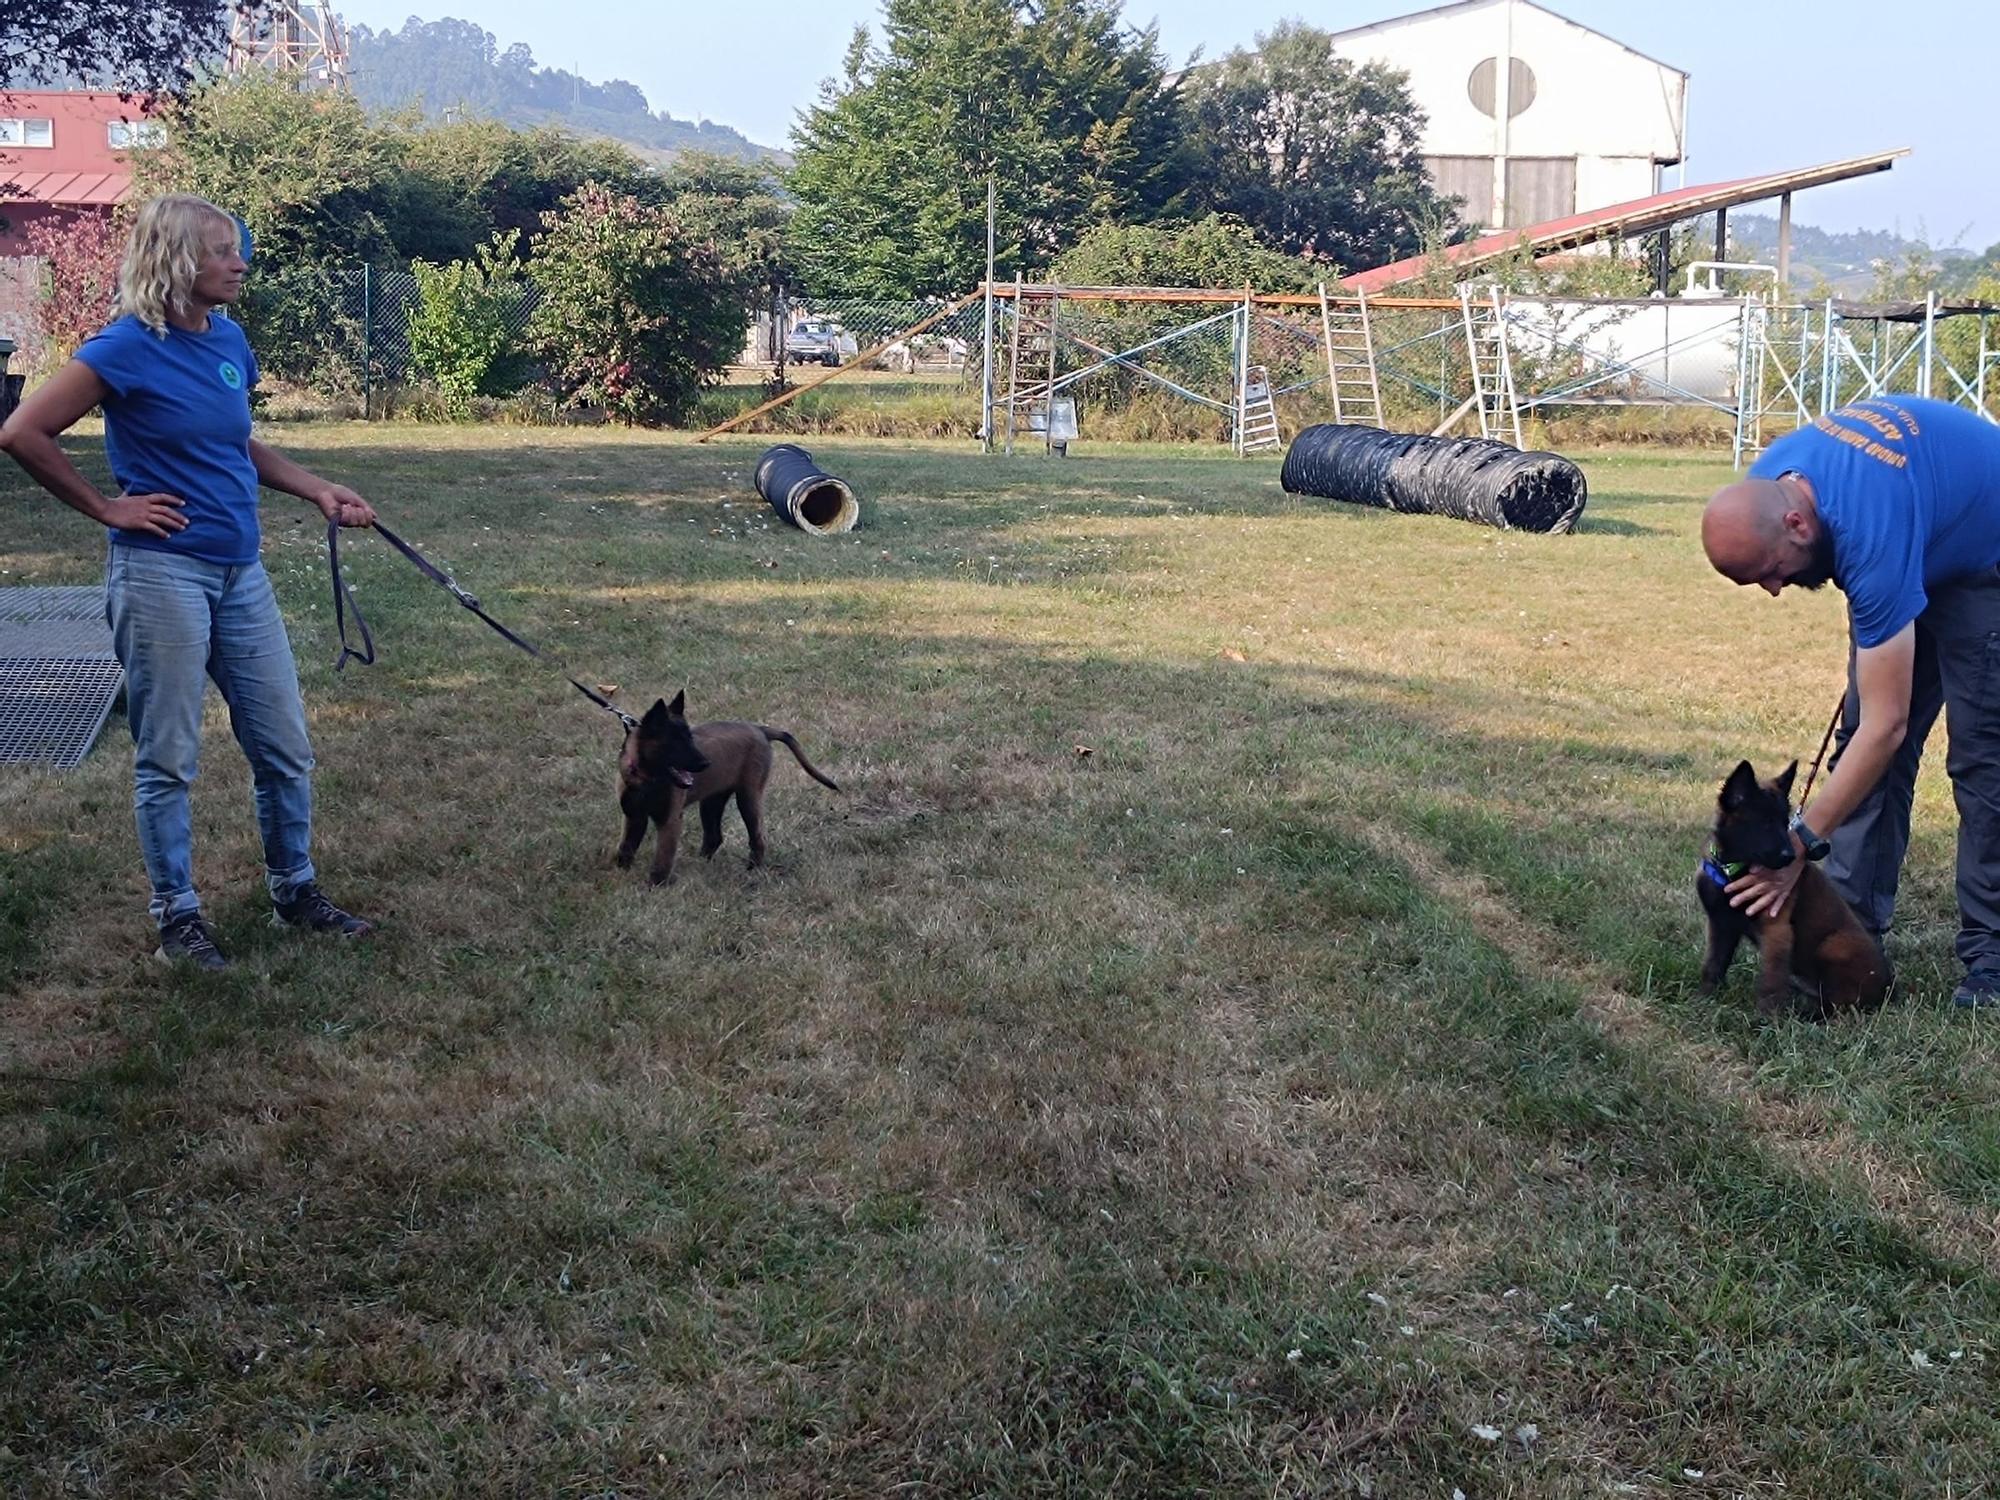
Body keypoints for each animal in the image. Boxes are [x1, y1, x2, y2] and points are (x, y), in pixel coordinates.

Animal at [604, 696, 832, 892]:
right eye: (676, 742)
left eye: (690, 738)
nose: (706, 763)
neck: (647, 779)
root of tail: (761, 730)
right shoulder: (634, 816)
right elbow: (626, 847)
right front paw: (620, 873)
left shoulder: (670, 820)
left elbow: (662, 859)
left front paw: (655, 887)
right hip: (712, 801)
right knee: (714, 836)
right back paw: (699, 864)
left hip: (748, 797)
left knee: (757, 837)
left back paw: (752, 870)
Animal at [1688, 764, 1888, 1024]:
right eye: (1763, 823)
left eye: (1784, 823)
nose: (1790, 857)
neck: (1732, 870)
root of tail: (1890, 986)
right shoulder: (1720, 924)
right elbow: (1713, 962)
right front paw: (1704, 998)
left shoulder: (1776, 929)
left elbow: (1770, 981)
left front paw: (1766, 1020)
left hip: (1833, 946)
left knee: (1839, 1004)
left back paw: (1808, 1014)